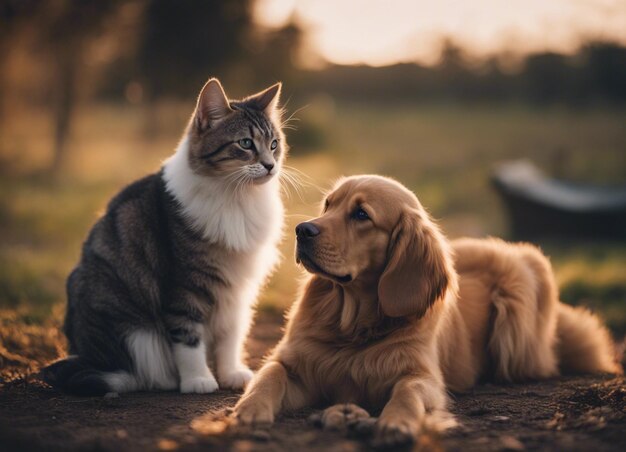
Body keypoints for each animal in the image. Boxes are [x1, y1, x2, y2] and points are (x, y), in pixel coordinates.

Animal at [43, 78, 286, 396]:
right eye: (245, 143)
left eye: (274, 144)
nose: (271, 165)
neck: (237, 197)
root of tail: (82, 351)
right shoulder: (184, 286)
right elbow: (188, 339)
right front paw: (198, 380)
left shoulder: (236, 294)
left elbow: (230, 339)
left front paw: (231, 374)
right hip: (130, 329)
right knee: (131, 374)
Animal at [233, 174, 620, 444]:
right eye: (328, 205)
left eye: (361, 214)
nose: (302, 230)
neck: (354, 329)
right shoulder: (298, 368)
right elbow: (269, 376)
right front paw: (248, 409)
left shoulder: (423, 377)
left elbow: (407, 393)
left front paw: (397, 421)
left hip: (521, 313)